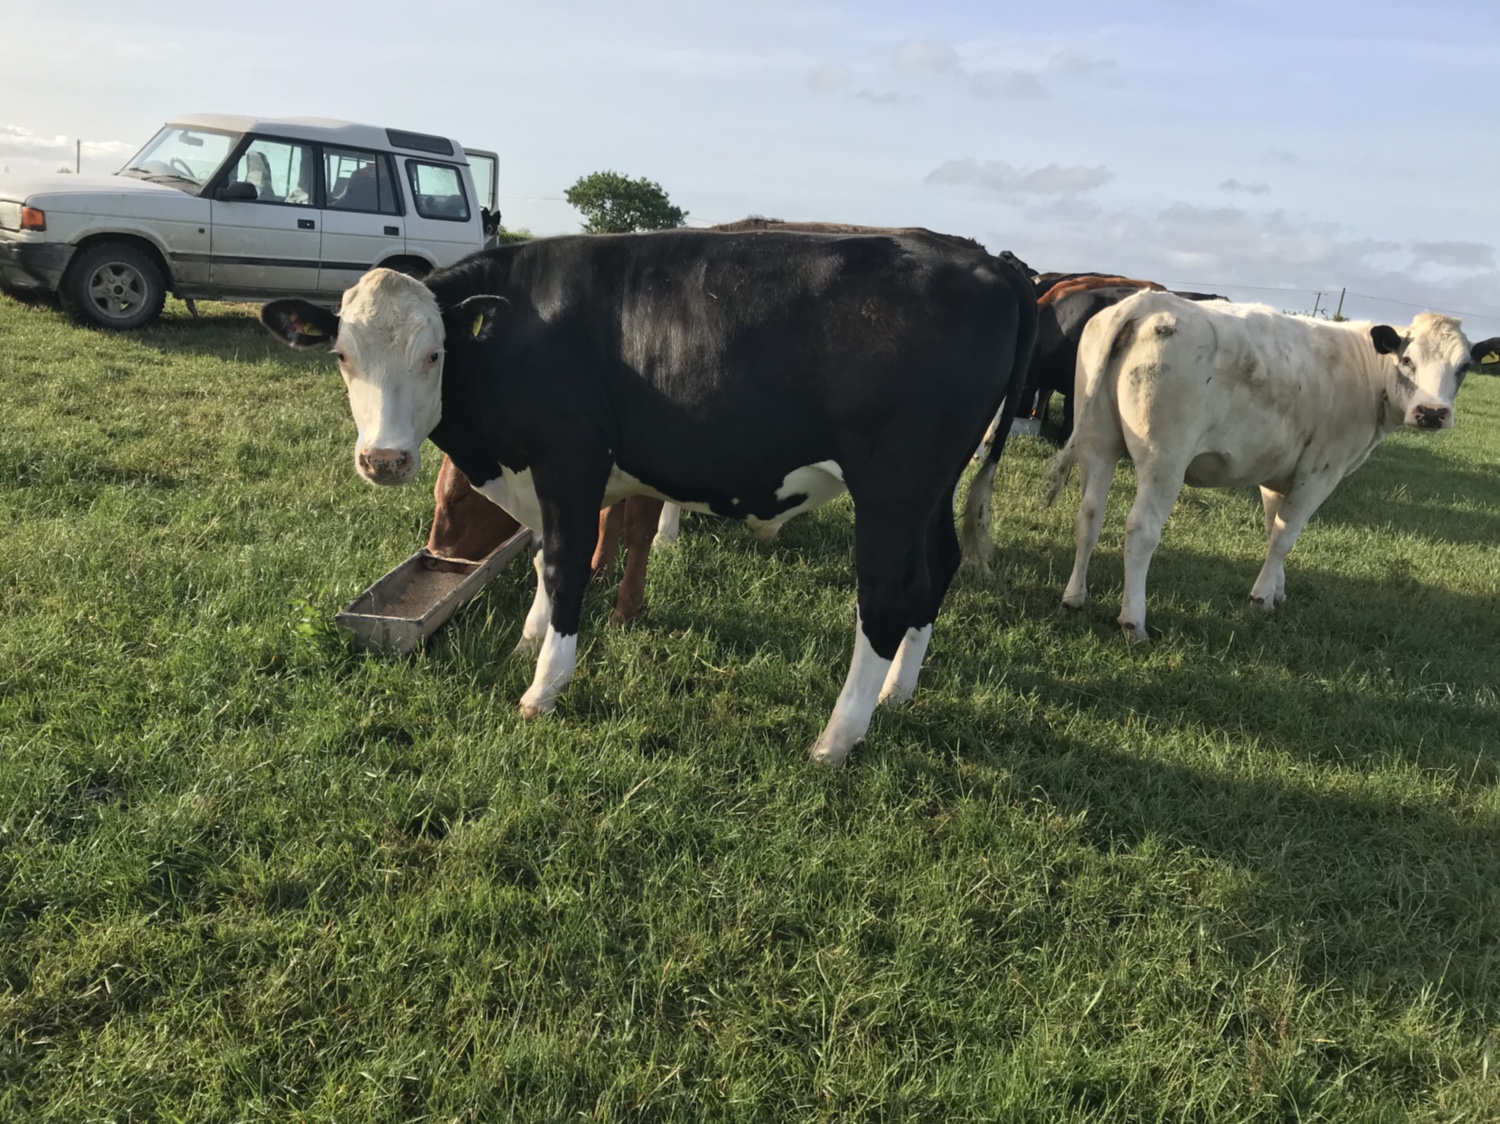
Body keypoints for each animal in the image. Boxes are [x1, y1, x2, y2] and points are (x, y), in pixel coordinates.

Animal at [261, 229, 1037, 766]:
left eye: (433, 354)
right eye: (342, 356)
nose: (383, 459)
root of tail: (984, 258)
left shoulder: (570, 458)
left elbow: (567, 566)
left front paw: (543, 687)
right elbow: (544, 558)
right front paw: (529, 639)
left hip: (892, 485)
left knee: (885, 597)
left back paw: (836, 739)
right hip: (932, 489)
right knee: (937, 570)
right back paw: (896, 693)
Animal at [1041, 291, 1500, 645]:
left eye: (1464, 367)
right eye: (1407, 360)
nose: (1432, 413)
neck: (1366, 373)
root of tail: (1146, 301)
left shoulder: (1277, 472)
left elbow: (1272, 528)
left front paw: (1276, 591)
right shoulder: (1320, 471)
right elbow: (1284, 537)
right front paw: (1261, 599)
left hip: (1098, 442)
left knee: (1089, 515)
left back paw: (1074, 597)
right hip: (1164, 458)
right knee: (1141, 530)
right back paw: (1133, 622)